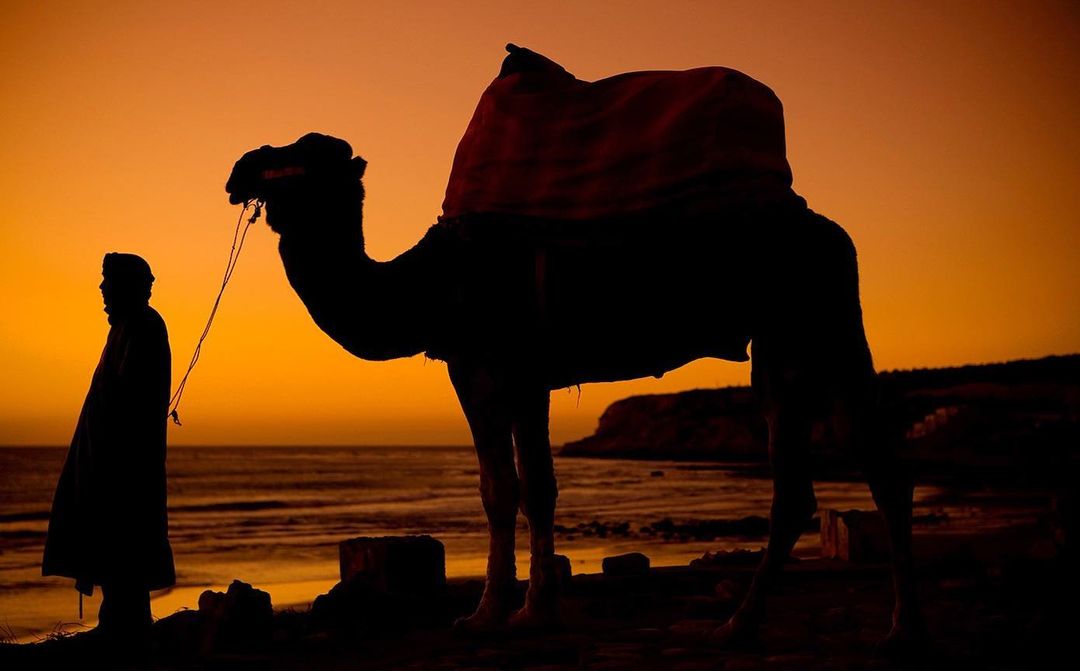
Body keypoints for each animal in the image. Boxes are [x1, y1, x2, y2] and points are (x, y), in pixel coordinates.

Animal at [224, 48, 923, 649]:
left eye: (304, 156)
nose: (238, 169)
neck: (428, 282)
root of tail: (827, 227)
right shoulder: (487, 371)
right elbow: (508, 487)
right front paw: (497, 614)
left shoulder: (510, 367)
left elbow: (527, 486)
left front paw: (521, 614)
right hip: (794, 338)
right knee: (827, 474)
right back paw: (773, 625)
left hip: (817, 316)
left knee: (858, 468)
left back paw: (869, 627)